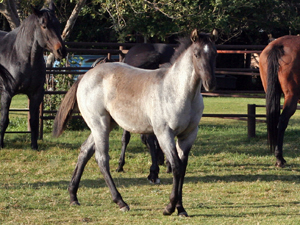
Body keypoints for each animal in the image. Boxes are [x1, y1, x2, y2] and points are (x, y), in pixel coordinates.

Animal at [0, 3, 65, 149]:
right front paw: (0, 144)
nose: (61, 50)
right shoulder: (7, 93)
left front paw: (34, 145)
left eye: (58, 24)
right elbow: (4, 120)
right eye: (44, 26)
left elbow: (34, 120)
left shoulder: (36, 94)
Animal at [54, 29, 217, 216]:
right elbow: (176, 167)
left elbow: (182, 169)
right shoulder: (164, 134)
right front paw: (169, 207)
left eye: (215, 53)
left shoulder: (188, 136)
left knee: (85, 151)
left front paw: (181, 209)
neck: (177, 91)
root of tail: (85, 75)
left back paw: (73, 196)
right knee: (102, 159)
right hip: (99, 124)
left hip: (105, 125)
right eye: (196, 54)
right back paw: (120, 201)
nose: (210, 83)